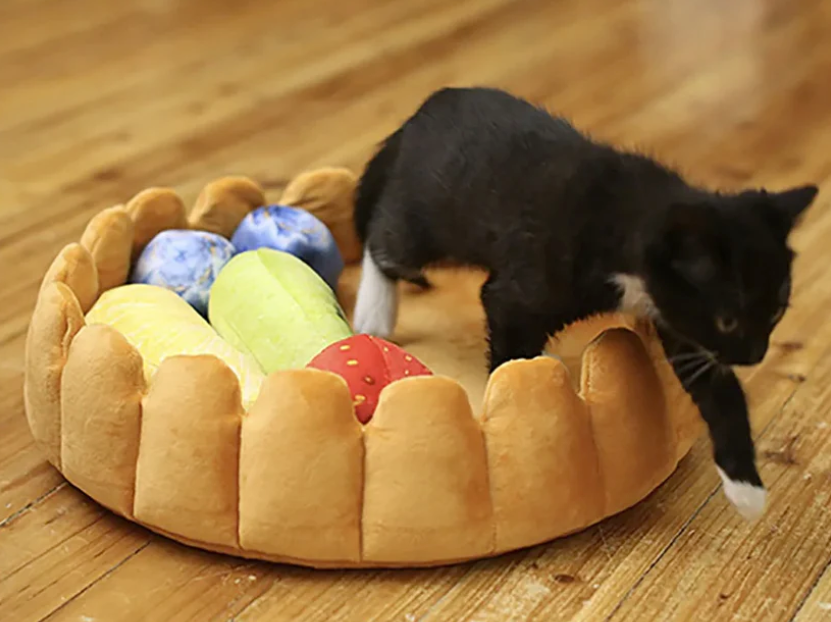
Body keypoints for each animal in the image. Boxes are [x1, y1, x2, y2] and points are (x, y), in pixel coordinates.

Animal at [352, 85, 820, 520]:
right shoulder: (522, 287)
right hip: (426, 214)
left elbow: (720, 392)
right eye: (728, 320)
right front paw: (521, 409)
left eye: (776, 311)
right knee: (384, 239)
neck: (628, 221)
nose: (755, 355)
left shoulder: (677, 318)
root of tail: (423, 111)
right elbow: (510, 350)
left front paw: (747, 490)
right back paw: (374, 312)